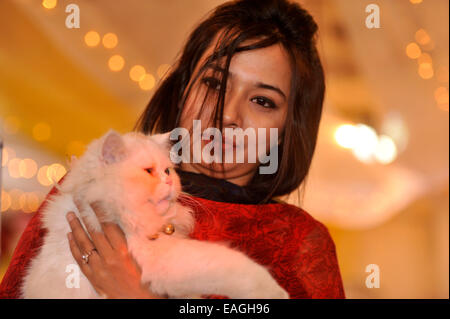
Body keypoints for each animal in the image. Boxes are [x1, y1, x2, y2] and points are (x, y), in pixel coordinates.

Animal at [21, 130, 290, 300]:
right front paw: (277, 292)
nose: (168, 180)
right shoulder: (162, 257)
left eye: (168, 171)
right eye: (149, 172)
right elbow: (237, 267)